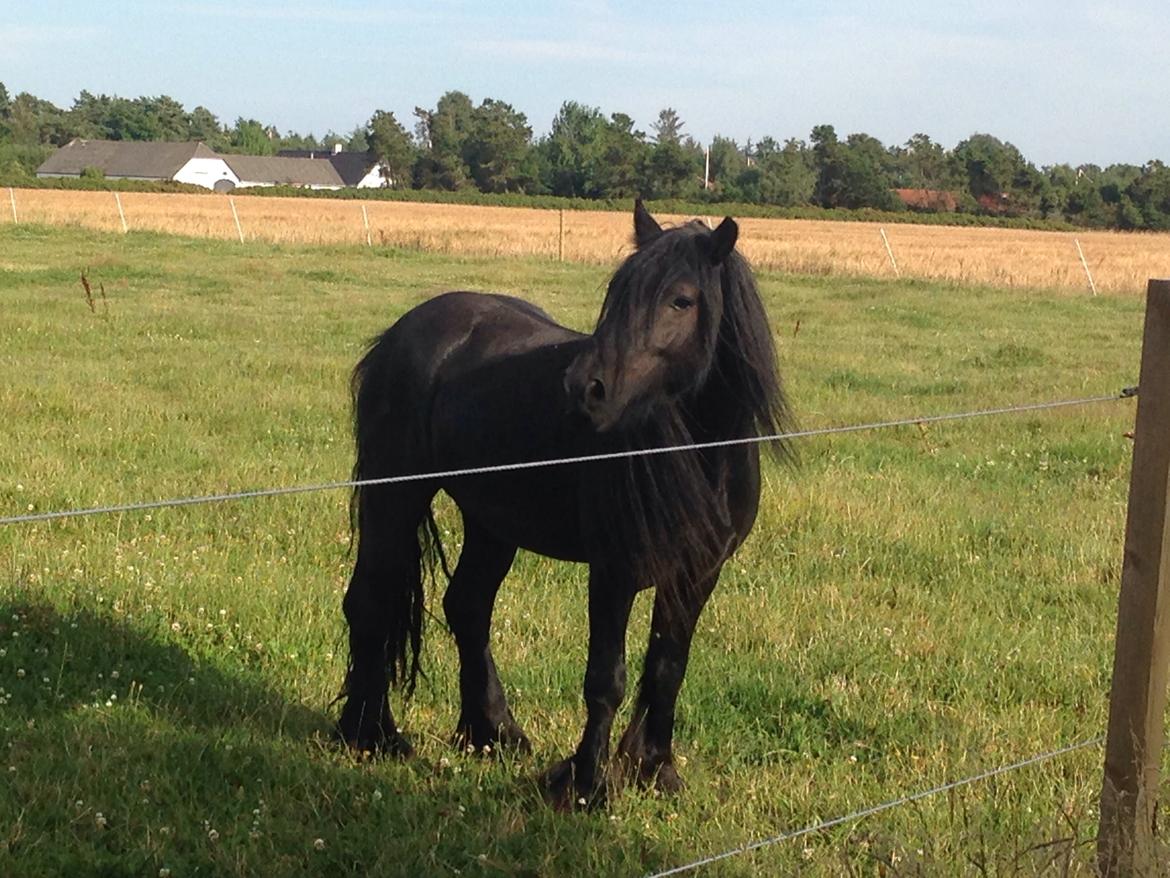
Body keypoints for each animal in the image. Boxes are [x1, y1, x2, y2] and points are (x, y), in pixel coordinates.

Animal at [336, 201, 789, 808]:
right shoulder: (614, 571)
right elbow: (606, 679)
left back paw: (493, 733)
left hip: (492, 521)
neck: (700, 456)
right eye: (617, 291)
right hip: (395, 496)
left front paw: (656, 771)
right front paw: (586, 786)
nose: (584, 389)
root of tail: (403, 331)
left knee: (467, 606)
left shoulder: (697, 573)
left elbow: (666, 669)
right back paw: (372, 735)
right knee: (371, 600)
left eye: (682, 300)